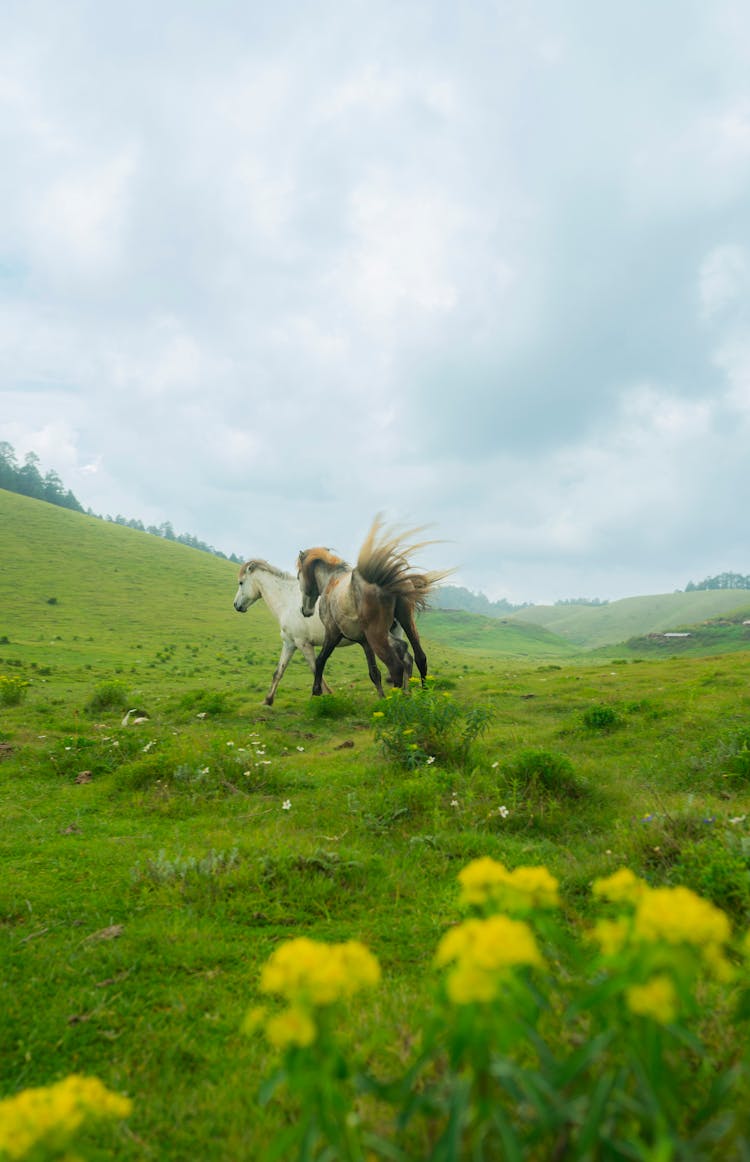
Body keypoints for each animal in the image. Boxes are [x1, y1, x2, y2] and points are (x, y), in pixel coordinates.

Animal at [232, 557, 411, 701]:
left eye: (241, 582)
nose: (236, 605)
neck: (287, 601)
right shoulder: (289, 643)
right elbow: (278, 672)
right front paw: (268, 701)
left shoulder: (303, 644)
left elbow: (315, 667)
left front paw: (325, 694)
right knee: (406, 657)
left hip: (378, 636)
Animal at [296, 518, 451, 697]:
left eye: (298, 576)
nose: (305, 611)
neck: (332, 581)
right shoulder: (365, 642)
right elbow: (374, 673)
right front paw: (381, 697)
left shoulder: (332, 633)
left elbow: (320, 660)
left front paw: (316, 692)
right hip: (405, 623)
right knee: (419, 657)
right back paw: (421, 693)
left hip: (377, 636)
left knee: (396, 666)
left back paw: (397, 699)